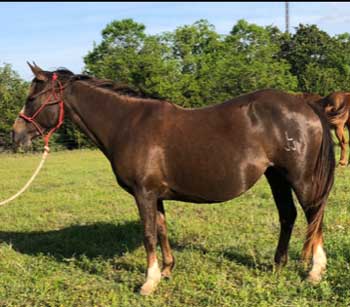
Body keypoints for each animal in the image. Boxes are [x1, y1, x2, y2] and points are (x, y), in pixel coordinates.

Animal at [12, 63, 334, 298]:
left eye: (31, 99)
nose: (16, 135)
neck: (127, 124)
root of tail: (306, 104)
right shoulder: (156, 195)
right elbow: (162, 230)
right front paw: (166, 270)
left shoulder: (143, 193)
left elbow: (148, 234)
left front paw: (148, 282)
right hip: (276, 176)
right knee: (288, 215)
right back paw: (278, 265)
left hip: (300, 178)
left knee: (313, 214)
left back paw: (315, 271)